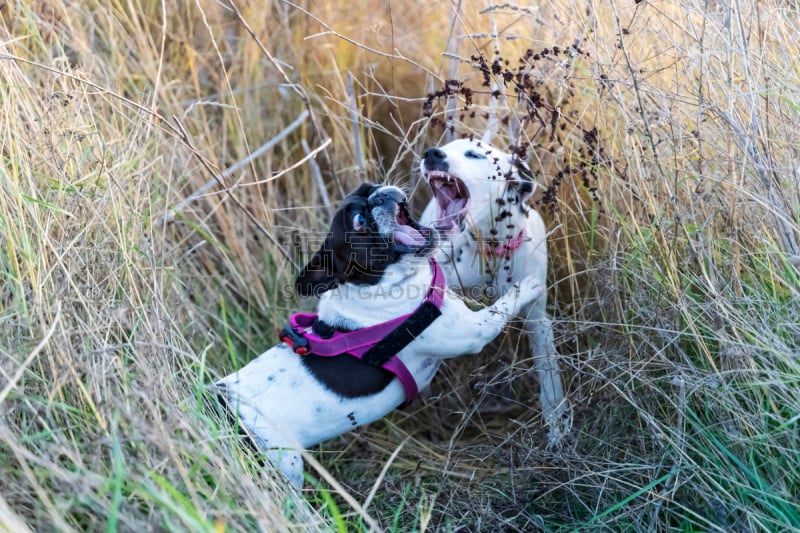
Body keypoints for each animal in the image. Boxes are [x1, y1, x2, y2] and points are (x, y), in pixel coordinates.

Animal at [219, 183, 544, 486]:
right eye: (360, 221)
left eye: (368, 188)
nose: (379, 197)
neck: (384, 285)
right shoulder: (472, 332)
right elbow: (500, 309)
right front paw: (528, 286)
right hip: (283, 466)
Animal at [418, 138, 568, 444]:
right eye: (445, 147)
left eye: (474, 154)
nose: (432, 154)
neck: (488, 249)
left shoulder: (539, 321)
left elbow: (550, 378)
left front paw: (557, 427)